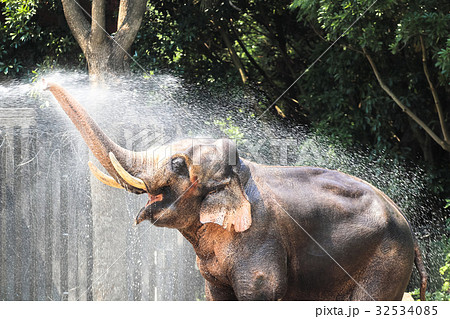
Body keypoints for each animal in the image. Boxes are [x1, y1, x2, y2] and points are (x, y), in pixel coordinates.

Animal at [44, 81, 428, 302]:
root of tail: (412, 232)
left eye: (177, 164)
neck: (239, 175)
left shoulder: (261, 241)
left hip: (385, 261)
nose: (46, 82)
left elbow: (259, 291)